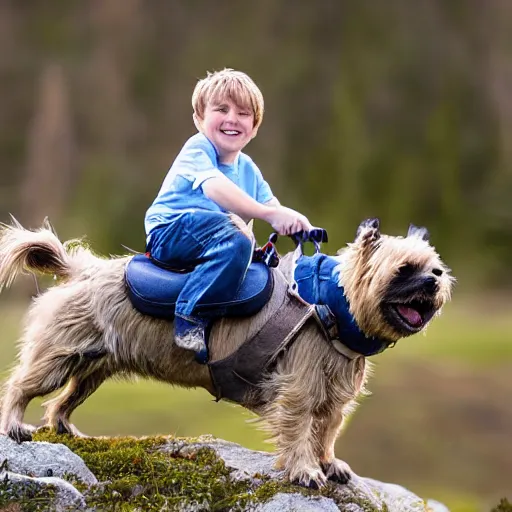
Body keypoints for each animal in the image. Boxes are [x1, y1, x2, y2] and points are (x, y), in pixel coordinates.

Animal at [0, 217, 454, 488]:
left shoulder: (334, 399)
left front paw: (329, 462)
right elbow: (299, 432)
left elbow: (326, 431)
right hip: (57, 357)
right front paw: (306, 469)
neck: (333, 304)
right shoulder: (298, 391)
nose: (434, 283)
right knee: (20, 387)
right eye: (403, 269)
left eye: (435, 268)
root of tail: (84, 269)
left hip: (93, 367)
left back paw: (66, 428)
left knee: (61, 401)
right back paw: (14, 426)